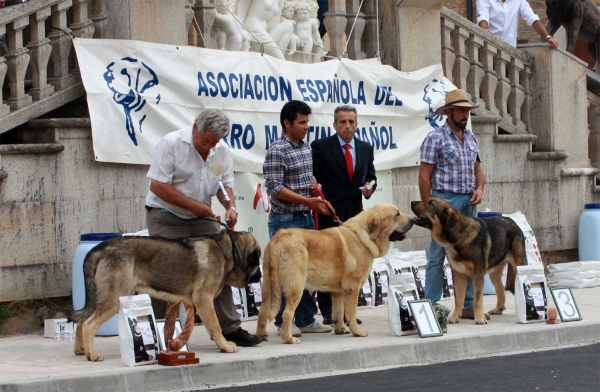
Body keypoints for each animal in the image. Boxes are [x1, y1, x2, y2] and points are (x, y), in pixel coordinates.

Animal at [69, 230, 260, 362]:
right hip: (114, 299)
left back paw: (81, 350)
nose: (260, 277)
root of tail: (101, 247)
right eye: (256, 262)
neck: (227, 251)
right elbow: (215, 326)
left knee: (82, 321)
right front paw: (225, 346)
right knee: (88, 324)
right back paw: (92, 355)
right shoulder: (203, 299)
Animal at [255, 202, 414, 344]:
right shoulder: (352, 288)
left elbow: (338, 311)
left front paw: (340, 329)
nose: (414, 219)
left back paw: (261, 336)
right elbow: (351, 313)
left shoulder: (338, 291)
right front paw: (357, 331)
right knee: (287, 314)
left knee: (262, 311)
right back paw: (289, 338)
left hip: (269, 286)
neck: (364, 236)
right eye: (397, 214)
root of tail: (277, 239)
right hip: (296, 287)